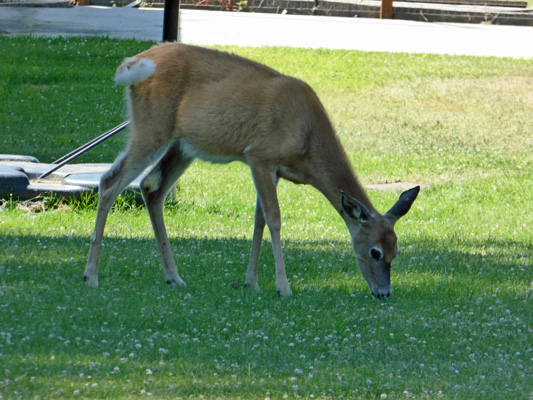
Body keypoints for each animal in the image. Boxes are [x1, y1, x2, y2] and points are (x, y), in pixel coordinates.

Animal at [83, 44, 418, 300]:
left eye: (396, 251)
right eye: (375, 252)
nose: (384, 293)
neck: (308, 141)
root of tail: (134, 63)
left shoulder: (273, 170)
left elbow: (259, 220)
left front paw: (252, 282)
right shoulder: (260, 156)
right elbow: (275, 219)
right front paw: (283, 287)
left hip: (182, 145)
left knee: (152, 186)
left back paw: (173, 277)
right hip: (152, 127)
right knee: (110, 181)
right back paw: (91, 276)